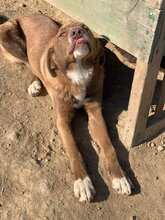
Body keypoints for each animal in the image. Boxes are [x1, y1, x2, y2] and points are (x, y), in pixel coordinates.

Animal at [0, 13, 131, 202]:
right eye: (62, 34)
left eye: (85, 27)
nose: (77, 31)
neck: (79, 70)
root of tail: (27, 15)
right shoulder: (62, 120)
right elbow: (73, 150)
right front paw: (82, 182)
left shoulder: (95, 113)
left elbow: (109, 146)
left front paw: (120, 177)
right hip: (8, 36)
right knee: (30, 63)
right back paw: (35, 83)